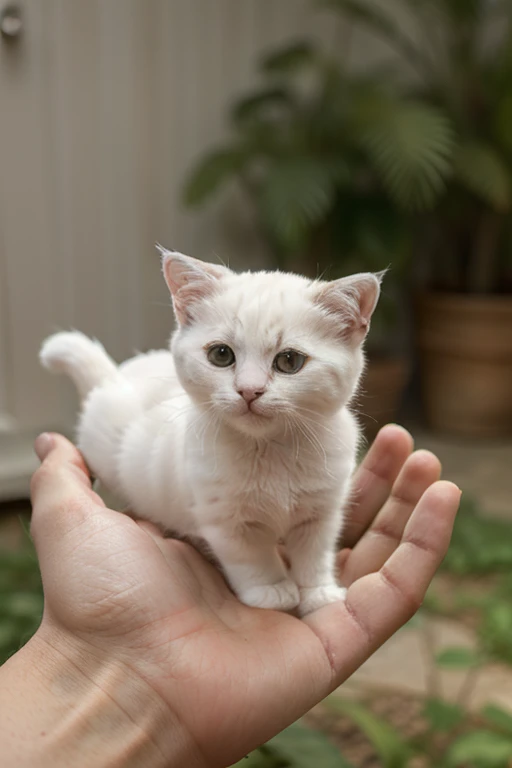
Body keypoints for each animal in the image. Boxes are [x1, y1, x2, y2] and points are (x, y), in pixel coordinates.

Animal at [40, 252, 380, 616]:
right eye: (221, 355)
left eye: (289, 360)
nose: (249, 390)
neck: (269, 450)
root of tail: (112, 378)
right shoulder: (224, 520)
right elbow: (252, 558)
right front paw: (271, 590)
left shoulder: (323, 511)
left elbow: (314, 554)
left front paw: (318, 592)